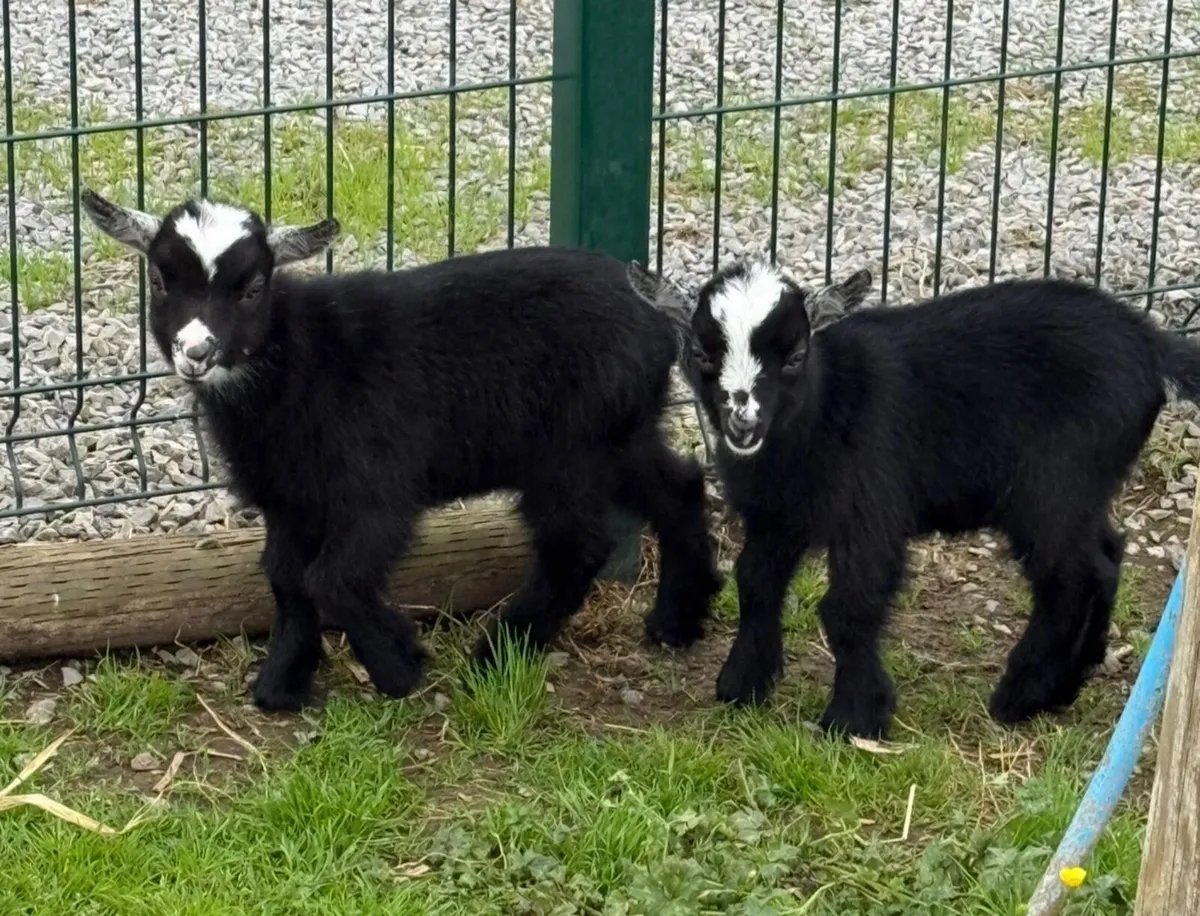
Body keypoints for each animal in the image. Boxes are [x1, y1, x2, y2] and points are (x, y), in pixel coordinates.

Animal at [81, 188, 721, 712]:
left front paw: (400, 664)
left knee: (578, 545)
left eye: (253, 288)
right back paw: (676, 622)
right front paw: (283, 683)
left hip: (570, 450)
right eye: (159, 280)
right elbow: (286, 577)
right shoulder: (289, 498)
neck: (301, 359)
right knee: (681, 488)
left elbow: (333, 579)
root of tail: (664, 325)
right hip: (620, 433)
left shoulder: (376, 491)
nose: (196, 352)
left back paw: (498, 651)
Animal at [631, 259, 1200, 739]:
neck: (824, 408)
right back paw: (1074, 676)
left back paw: (1022, 695)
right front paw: (744, 682)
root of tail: (1152, 347)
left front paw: (855, 717)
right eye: (701, 354)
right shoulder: (777, 516)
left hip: (1052, 489)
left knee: (1071, 579)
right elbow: (755, 584)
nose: (743, 424)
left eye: (794, 356)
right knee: (1105, 555)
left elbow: (848, 608)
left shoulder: (871, 512)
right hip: (1082, 490)